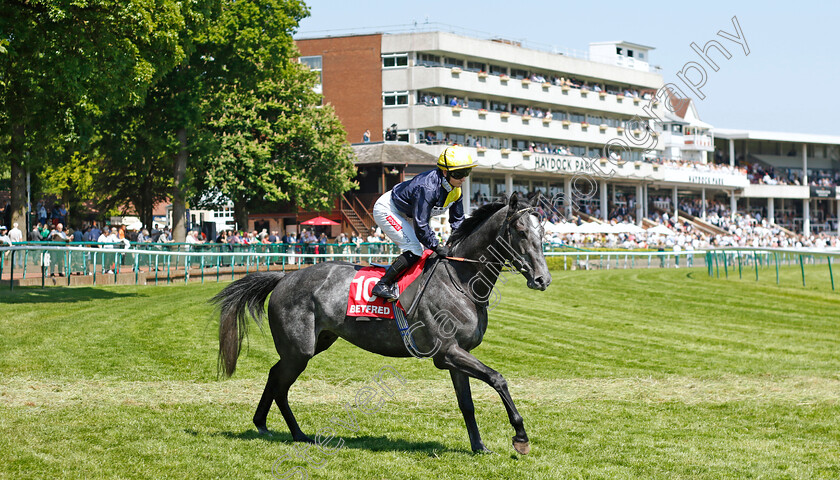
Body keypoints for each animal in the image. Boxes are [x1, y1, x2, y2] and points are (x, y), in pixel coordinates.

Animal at [212, 192, 552, 454]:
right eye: (521, 232)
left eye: (543, 234)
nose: (542, 279)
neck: (459, 279)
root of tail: (284, 276)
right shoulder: (447, 352)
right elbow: (498, 379)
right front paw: (520, 437)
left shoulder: (457, 356)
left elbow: (467, 404)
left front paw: (479, 446)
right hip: (299, 350)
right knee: (280, 384)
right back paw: (294, 432)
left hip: (315, 343)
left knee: (274, 375)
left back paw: (265, 424)